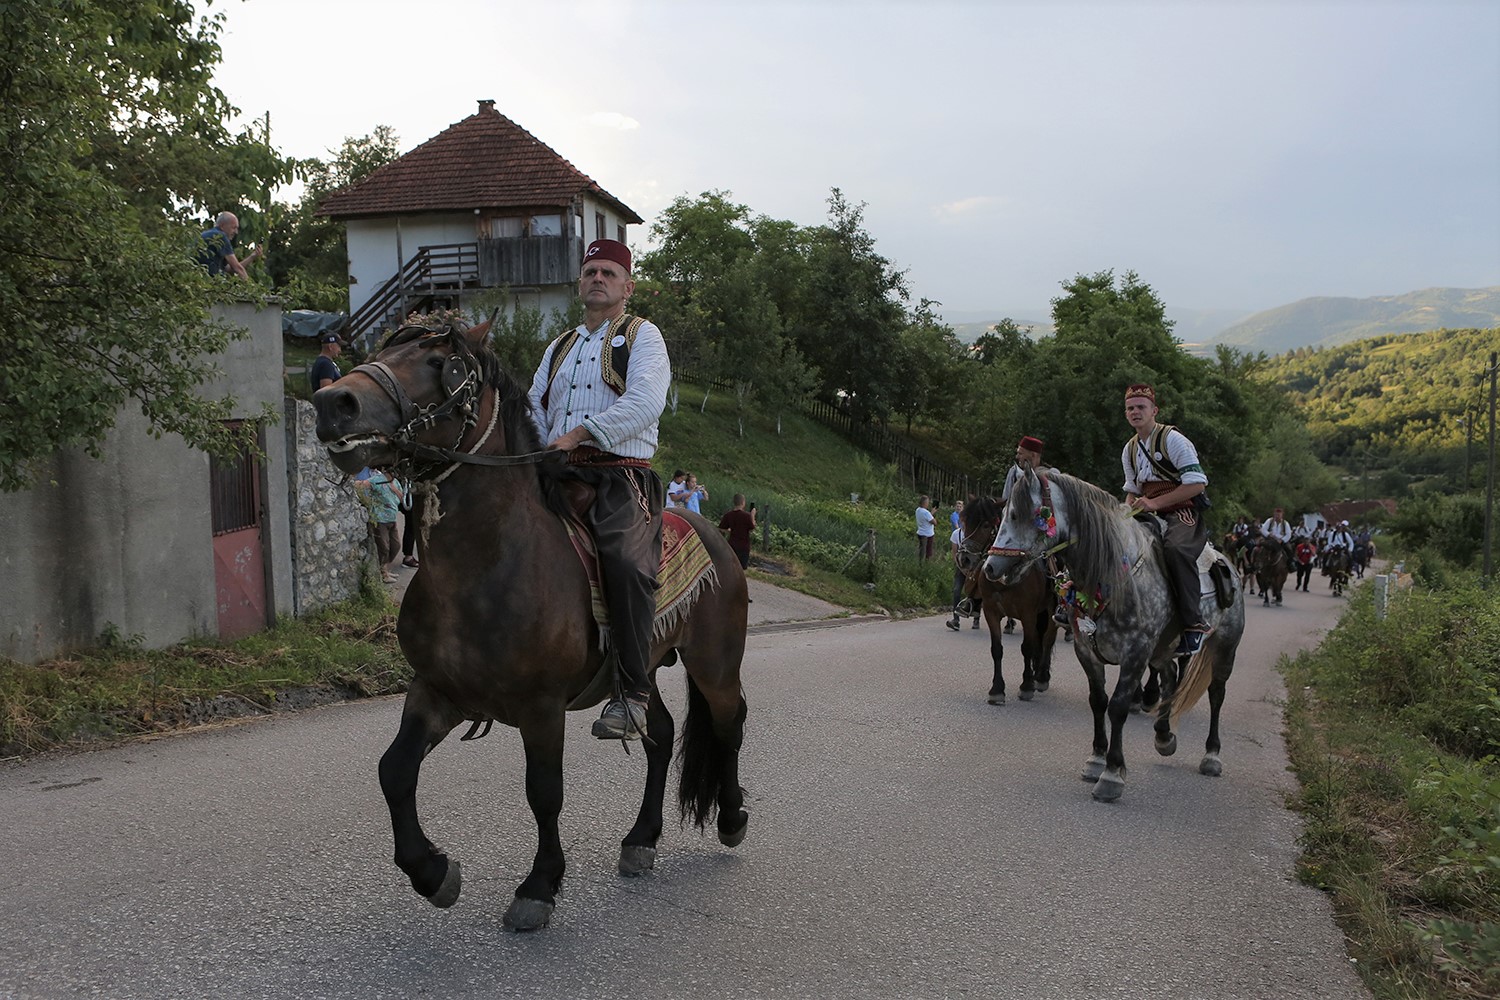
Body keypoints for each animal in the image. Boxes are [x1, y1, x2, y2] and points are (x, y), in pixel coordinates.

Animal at [312, 319, 750, 929]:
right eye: (383, 349)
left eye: (441, 363)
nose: (334, 403)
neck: (487, 562)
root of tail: (718, 537)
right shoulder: (437, 691)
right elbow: (394, 771)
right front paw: (432, 873)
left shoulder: (541, 708)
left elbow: (544, 792)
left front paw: (539, 886)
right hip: (637, 673)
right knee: (659, 734)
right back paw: (641, 838)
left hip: (715, 664)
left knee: (730, 723)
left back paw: (731, 819)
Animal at [960, 497, 1056, 707]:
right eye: (963, 521)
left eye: (986, 525)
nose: (964, 558)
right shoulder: (991, 612)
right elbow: (997, 650)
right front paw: (996, 690)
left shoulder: (1028, 614)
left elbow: (1027, 648)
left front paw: (1026, 686)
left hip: (1052, 610)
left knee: (1047, 639)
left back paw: (1041, 677)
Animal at [984, 470, 1242, 803]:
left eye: (1016, 514)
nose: (991, 567)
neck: (1113, 577)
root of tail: (1228, 564)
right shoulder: (1087, 651)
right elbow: (1098, 701)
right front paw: (1096, 760)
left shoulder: (1136, 653)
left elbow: (1118, 707)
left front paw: (1111, 774)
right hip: (1164, 649)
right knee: (1171, 676)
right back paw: (1164, 735)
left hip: (1224, 648)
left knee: (1216, 694)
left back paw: (1211, 755)